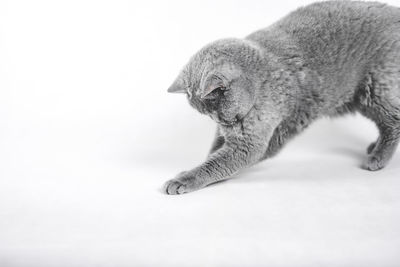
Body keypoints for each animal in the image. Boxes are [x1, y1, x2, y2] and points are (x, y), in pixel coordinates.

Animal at [162, 1, 400, 196]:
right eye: (207, 115)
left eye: (215, 110)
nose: (220, 121)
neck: (258, 76)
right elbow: (216, 151)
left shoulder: (249, 142)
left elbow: (220, 162)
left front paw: (183, 179)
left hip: (374, 89)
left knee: (393, 122)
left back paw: (378, 157)